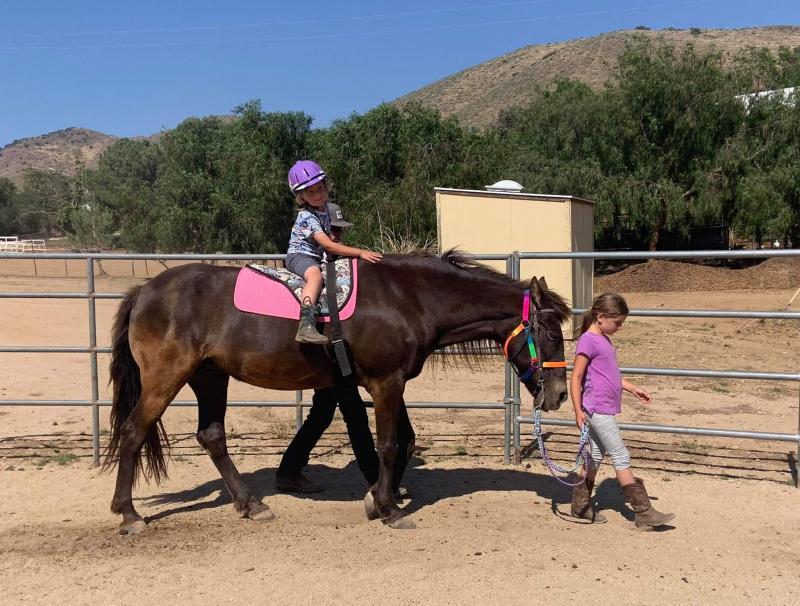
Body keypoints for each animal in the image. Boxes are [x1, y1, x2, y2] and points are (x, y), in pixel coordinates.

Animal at [103, 250, 571, 533]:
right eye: (551, 333)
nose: (560, 395)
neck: (410, 298)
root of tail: (145, 291)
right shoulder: (385, 382)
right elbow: (387, 444)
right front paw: (389, 509)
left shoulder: (392, 382)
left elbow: (405, 441)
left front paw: (380, 497)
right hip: (166, 378)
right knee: (132, 433)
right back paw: (129, 514)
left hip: (210, 377)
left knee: (212, 437)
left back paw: (251, 504)